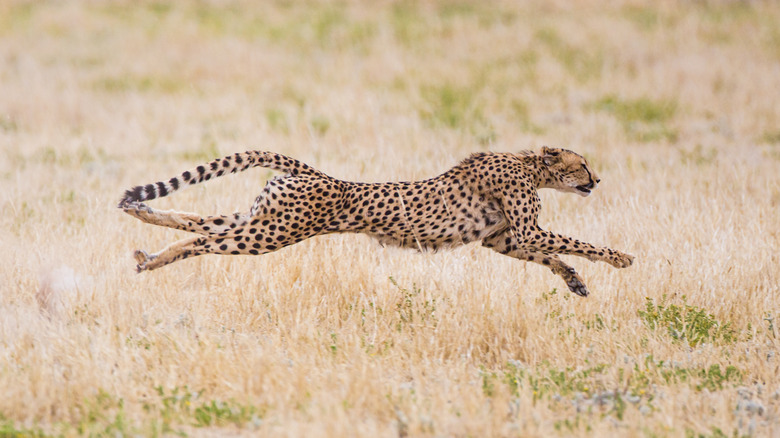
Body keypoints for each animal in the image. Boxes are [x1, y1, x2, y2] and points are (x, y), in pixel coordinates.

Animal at [120, 148, 632, 298]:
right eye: (582, 165)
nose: (597, 179)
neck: (529, 164)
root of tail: (315, 173)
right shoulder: (523, 230)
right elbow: (575, 241)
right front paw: (620, 257)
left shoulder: (504, 240)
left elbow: (551, 254)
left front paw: (575, 281)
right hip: (271, 233)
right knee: (206, 240)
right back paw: (151, 258)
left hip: (262, 218)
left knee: (199, 222)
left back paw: (144, 223)